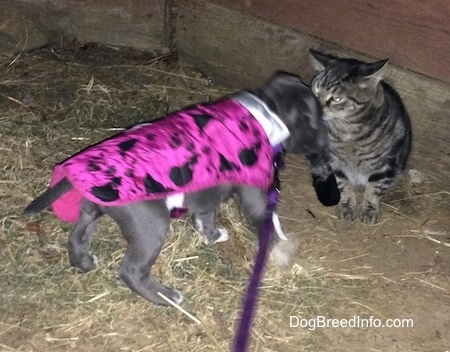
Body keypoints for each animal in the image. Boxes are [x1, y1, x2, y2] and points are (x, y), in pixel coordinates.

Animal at [23, 71, 326, 306]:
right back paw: (166, 297)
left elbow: (205, 216)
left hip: (93, 210)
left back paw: (85, 261)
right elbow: (269, 221)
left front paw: (212, 236)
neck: (267, 112)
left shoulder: (206, 193)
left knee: (77, 237)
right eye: (318, 121)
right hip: (152, 225)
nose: (325, 145)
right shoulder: (255, 192)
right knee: (131, 271)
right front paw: (280, 251)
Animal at [306, 49, 412, 224]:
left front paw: (370, 210)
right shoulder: (337, 163)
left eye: (336, 99)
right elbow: (344, 186)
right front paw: (347, 207)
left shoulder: (385, 166)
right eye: (315, 91)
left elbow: (374, 189)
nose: (315, 109)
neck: (348, 132)